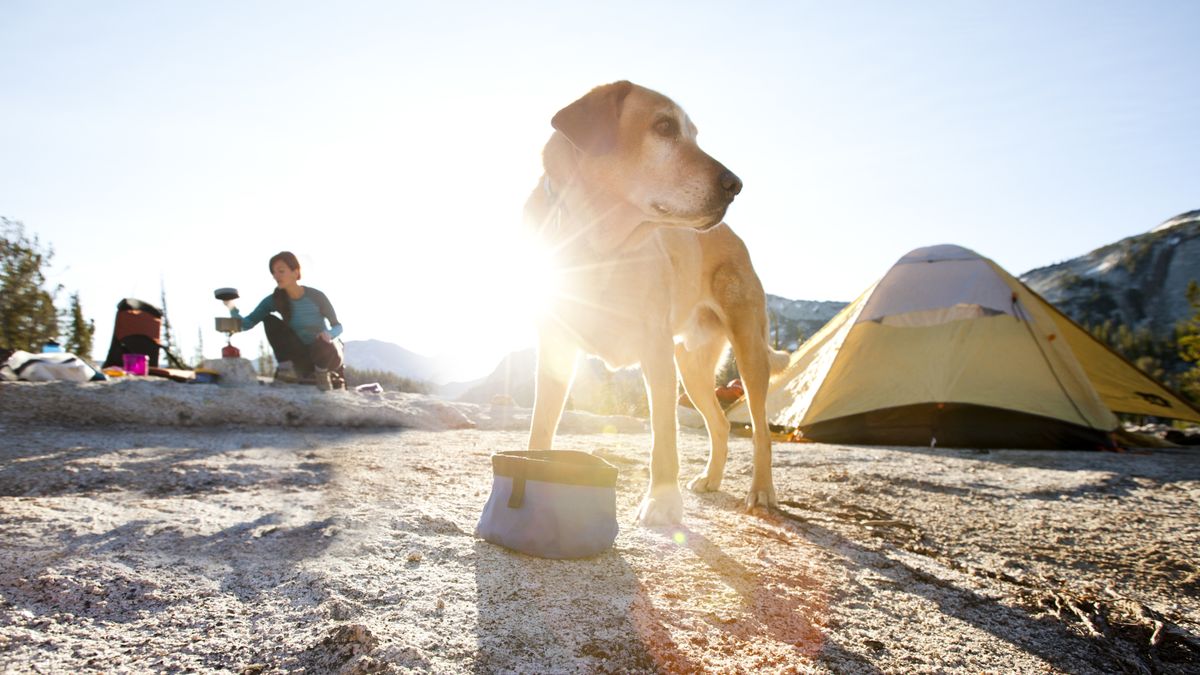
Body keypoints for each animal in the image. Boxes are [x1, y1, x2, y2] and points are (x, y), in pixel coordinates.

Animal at [523, 79, 787, 526]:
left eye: (695, 134)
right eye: (664, 127)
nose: (735, 185)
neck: (600, 244)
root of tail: (735, 237)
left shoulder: (656, 351)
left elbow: (664, 437)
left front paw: (662, 501)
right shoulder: (556, 346)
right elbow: (541, 427)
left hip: (748, 352)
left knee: (760, 431)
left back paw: (763, 491)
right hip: (692, 366)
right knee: (720, 424)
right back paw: (712, 478)